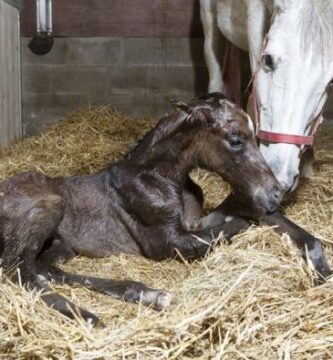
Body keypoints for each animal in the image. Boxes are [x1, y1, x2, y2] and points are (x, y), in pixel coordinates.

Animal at [0, 94, 280, 324]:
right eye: (235, 139)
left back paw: (145, 295)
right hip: (48, 209)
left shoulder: (192, 224)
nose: (275, 194)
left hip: (62, 246)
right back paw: (90, 316)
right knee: (17, 271)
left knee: (45, 269)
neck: (158, 177)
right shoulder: (166, 242)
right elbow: (229, 229)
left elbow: (223, 223)